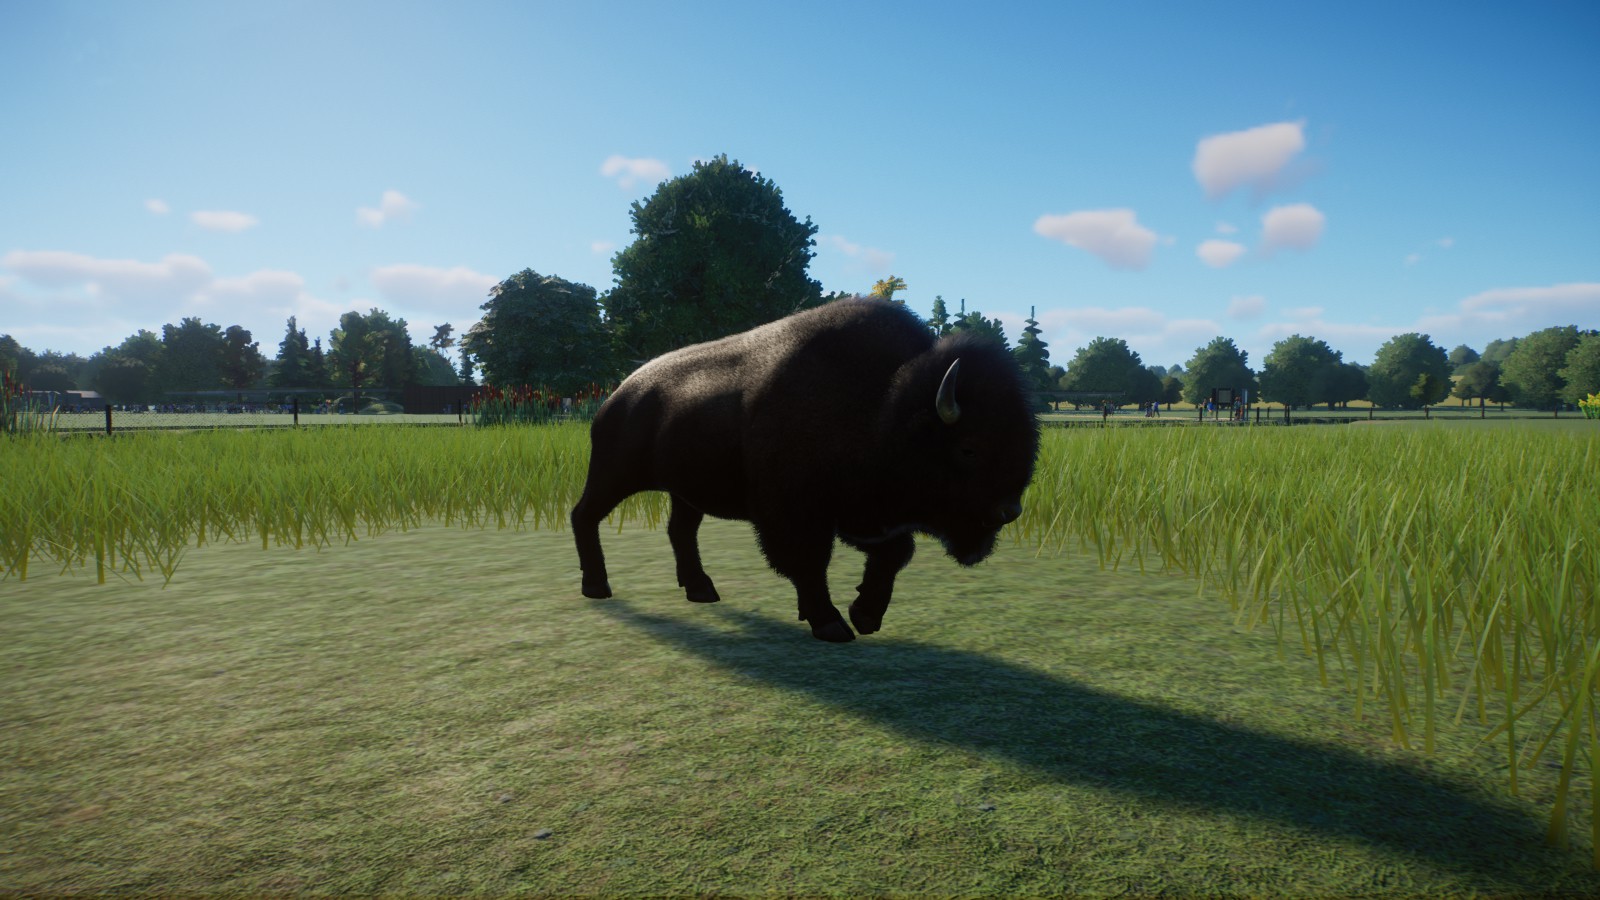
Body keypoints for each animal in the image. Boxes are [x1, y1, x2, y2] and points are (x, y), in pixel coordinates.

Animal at [571, 298, 1040, 642]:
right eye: (968, 448)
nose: (1009, 511)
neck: (884, 405)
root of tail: (619, 394)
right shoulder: (797, 515)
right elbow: (809, 562)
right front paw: (831, 623)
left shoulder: (862, 515)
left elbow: (894, 553)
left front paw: (865, 616)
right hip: (613, 475)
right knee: (584, 515)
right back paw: (597, 586)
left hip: (685, 492)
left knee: (680, 531)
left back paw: (701, 590)